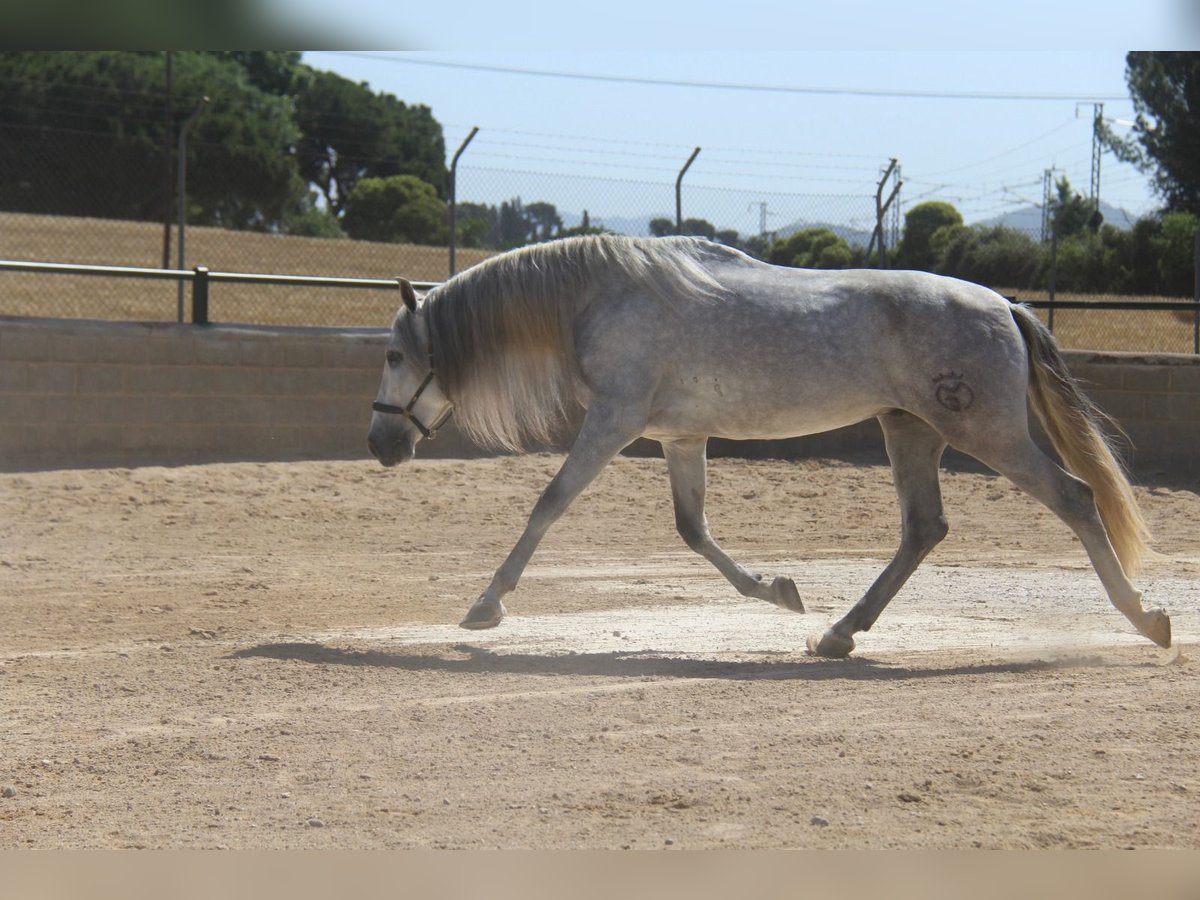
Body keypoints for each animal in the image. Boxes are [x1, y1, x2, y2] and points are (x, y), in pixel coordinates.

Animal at [367, 236, 1171, 657]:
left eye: (395, 355)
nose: (378, 443)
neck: (603, 296)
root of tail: (1004, 304)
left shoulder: (614, 422)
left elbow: (549, 503)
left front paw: (485, 606)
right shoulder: (680, 437)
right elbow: (693, 531)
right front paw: (779, 591)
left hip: (988, 434)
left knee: (1077, 498)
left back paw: (1146, 619)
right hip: (909, 430)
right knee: (924, 528)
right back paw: (837, 634)